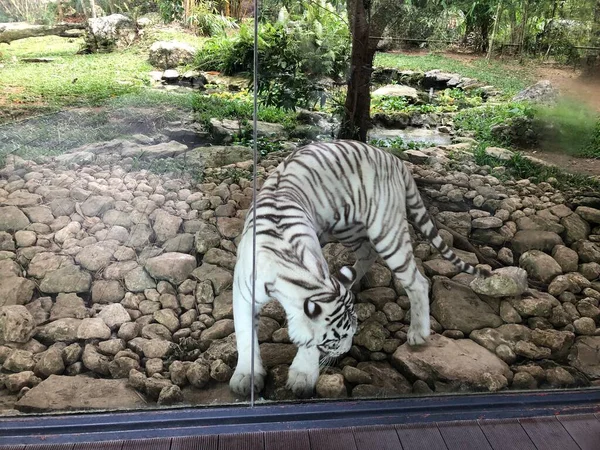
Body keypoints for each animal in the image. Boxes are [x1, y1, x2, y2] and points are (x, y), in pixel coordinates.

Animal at [227, 140, 486, 398]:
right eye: (336, 339)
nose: (345, 351)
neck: (290, 269)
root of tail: (394, 159)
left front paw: (302, 376)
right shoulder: (243, 295)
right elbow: (245, 336)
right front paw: (246, 377)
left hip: (386, 231)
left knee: (418, 282)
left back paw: (418, 334)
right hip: (347, 227)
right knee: (368, 253)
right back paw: (354, 282)